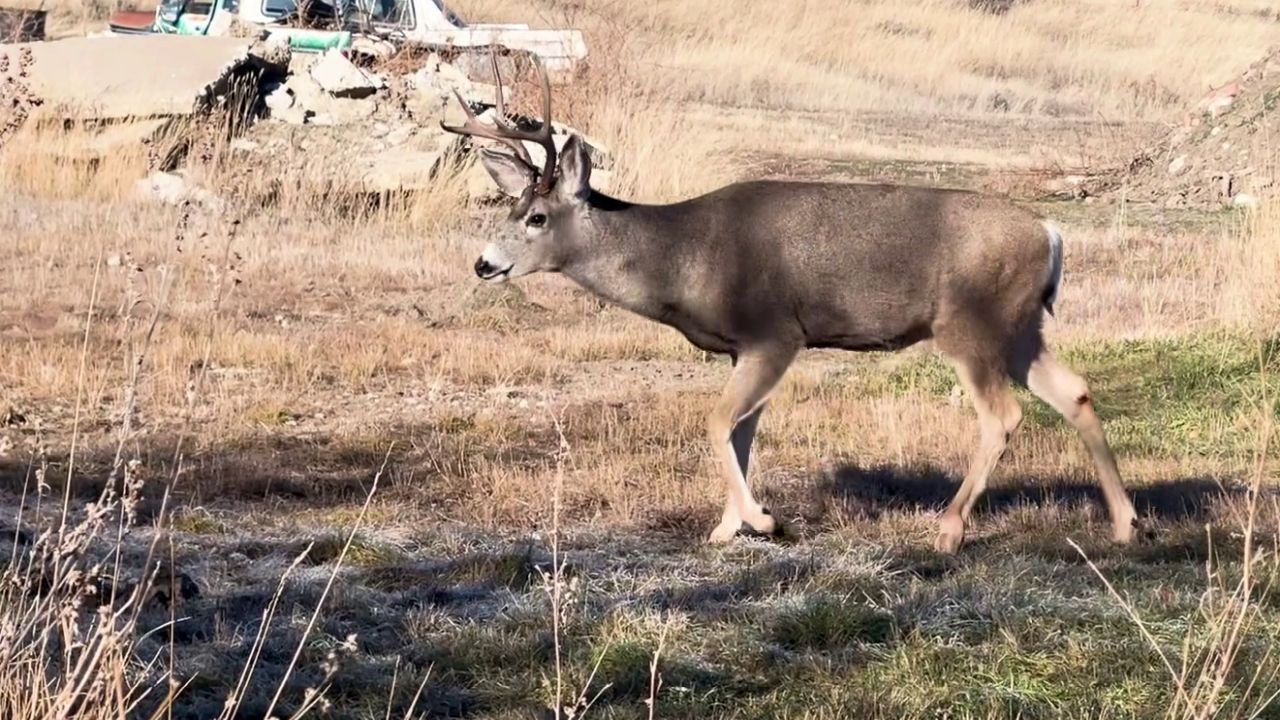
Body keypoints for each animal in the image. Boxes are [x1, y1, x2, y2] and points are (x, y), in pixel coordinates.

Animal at [441, 57, 1141, 553]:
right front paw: (726, 528)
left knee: (1003, 415)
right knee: (1075, 392)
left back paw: (948, 530)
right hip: (1020, 326)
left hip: (969, 321)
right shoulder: (740, 349)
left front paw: (762, 519)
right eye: (509, 209)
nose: (483, 263)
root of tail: (1050, 232)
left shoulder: (775, 333)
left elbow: (717, 424)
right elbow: (742, 431)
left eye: (535, 217)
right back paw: (1126, 523)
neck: (682, 259)